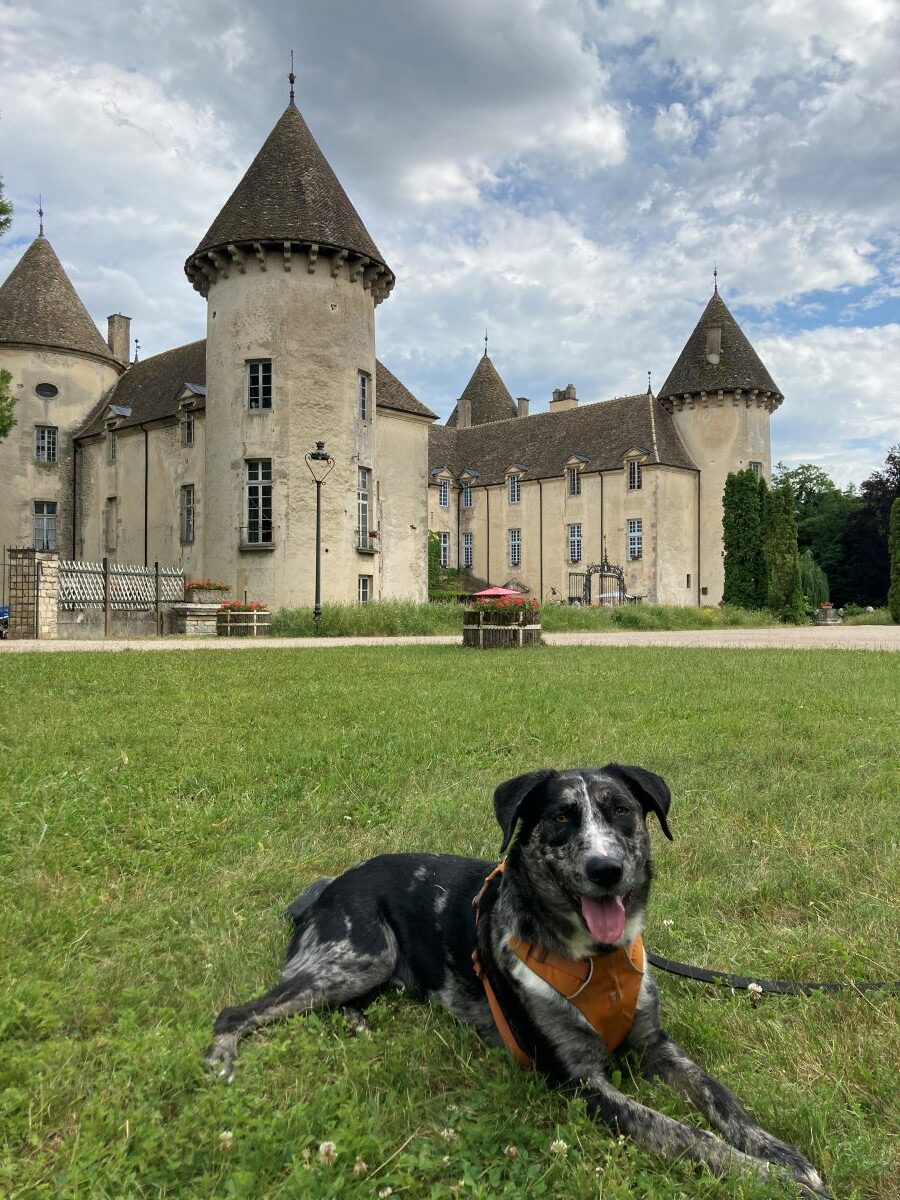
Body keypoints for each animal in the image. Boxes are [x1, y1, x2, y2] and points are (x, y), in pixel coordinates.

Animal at [207, 763, 830, 1195]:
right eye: (559, 817)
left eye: (622, 810)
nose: (607, 870)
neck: (596, 959)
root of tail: (328, 887)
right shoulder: (578, 1081)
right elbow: (685, 1134)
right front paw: (767, 1178)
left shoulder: (657, 1046)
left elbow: (719, 1097)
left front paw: (780, 1155)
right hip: (360, 955)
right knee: (238, 1010)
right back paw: (222, 1057)